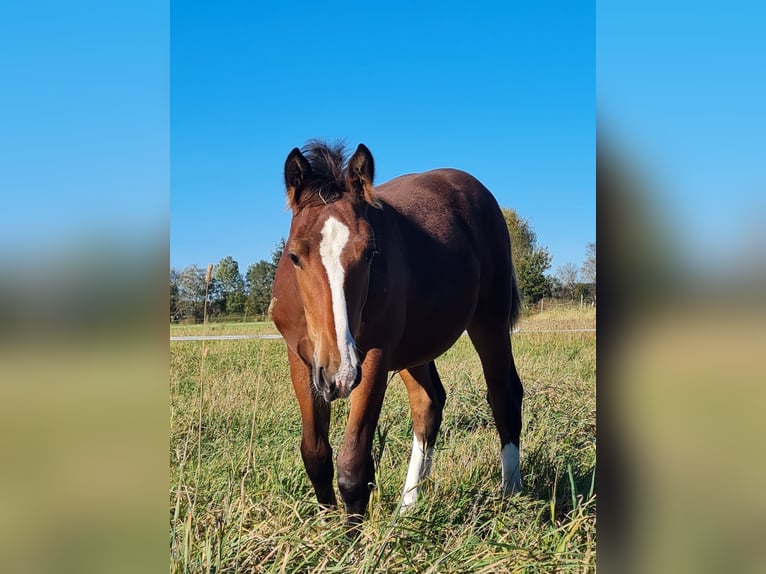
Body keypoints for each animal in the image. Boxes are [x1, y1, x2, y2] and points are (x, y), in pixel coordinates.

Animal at [272, 141, 528, 528]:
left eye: (369, 253)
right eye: (294, 256)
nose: (338, 375)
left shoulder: (373, 359)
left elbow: (352, 466)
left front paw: (349, 540)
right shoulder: (301, 360)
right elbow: (316, 456)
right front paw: (326, 530)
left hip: (490, 321)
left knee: (504, 395)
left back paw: (510, 495)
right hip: (413, 349)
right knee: (429, 404)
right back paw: (408, 509)